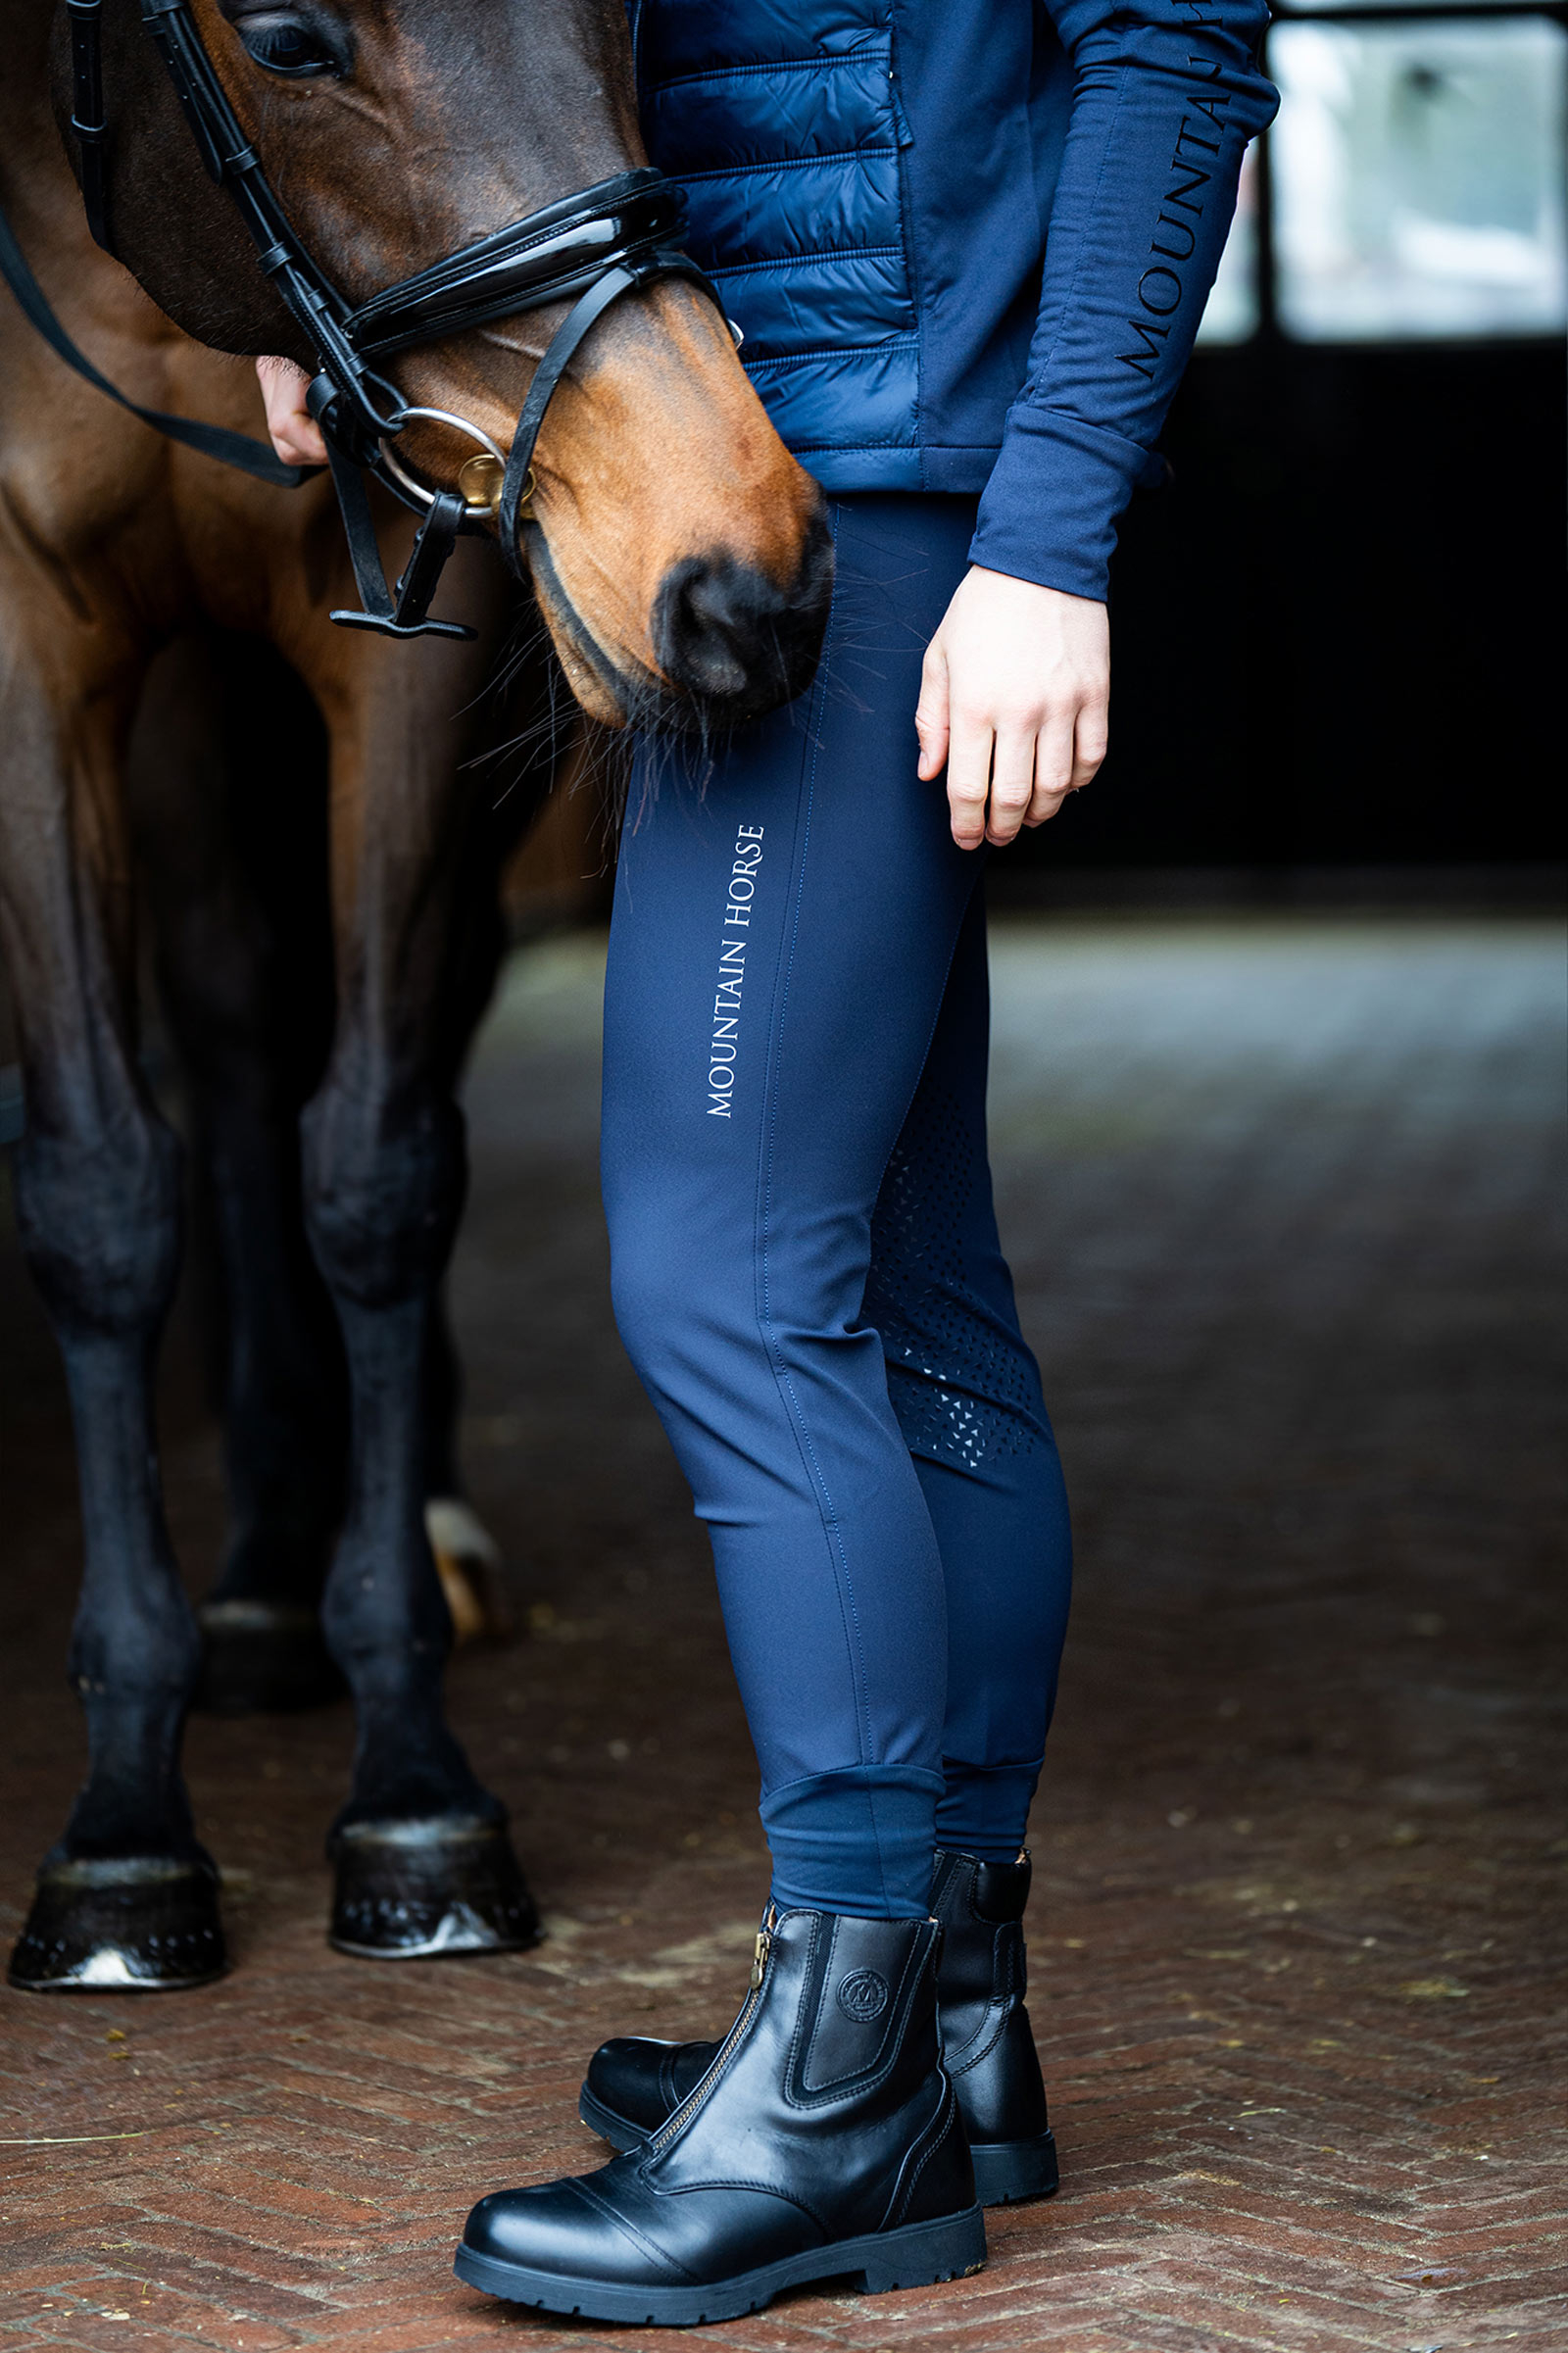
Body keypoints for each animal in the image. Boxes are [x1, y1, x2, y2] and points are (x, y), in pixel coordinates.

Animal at [0, 0, 831, 1991]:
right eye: (291, 38)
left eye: (631, 20)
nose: (745, 574)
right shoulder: (30, 633)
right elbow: (98, 1193)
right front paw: (123, 1829)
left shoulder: (413, 667)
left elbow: (378, 1168)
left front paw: (416, 1790)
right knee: (232, 1042)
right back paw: (253, 1584)